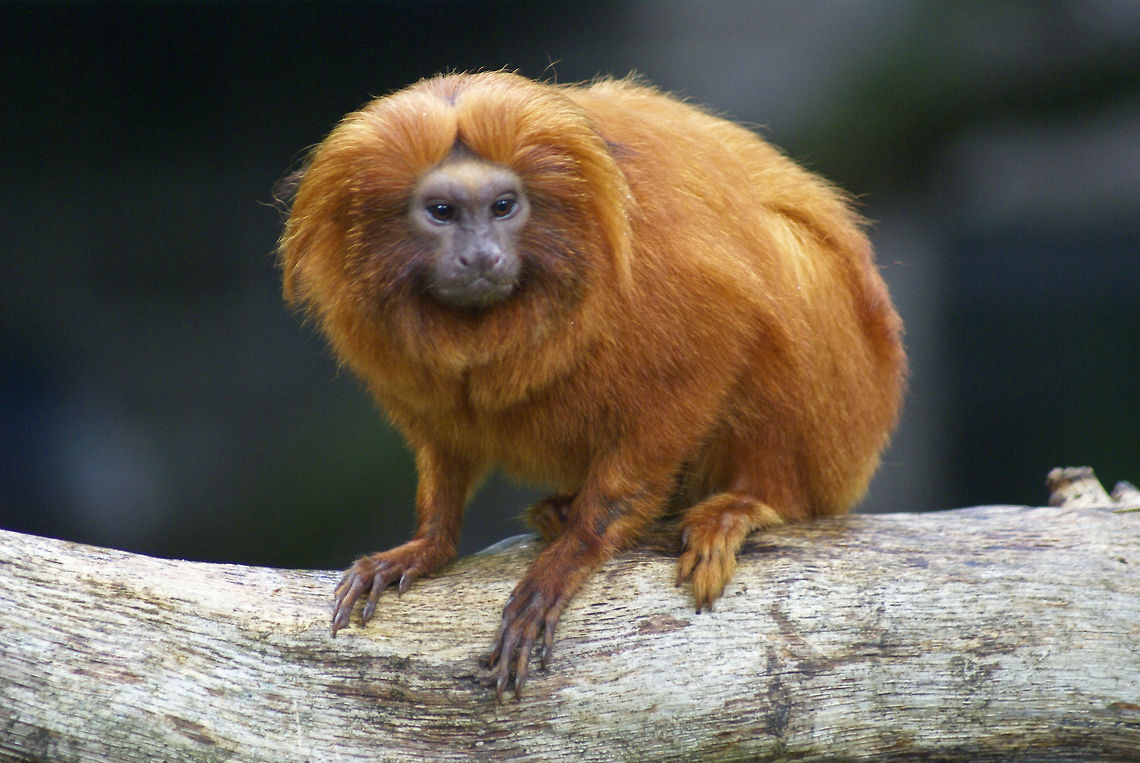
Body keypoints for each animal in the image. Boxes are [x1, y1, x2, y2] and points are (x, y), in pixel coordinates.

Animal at [278, 71, 906, 701]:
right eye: (441, 211)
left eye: (503, 207)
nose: (481, 255)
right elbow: (442, 442)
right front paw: (428, 545)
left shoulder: (667, 268)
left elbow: (709, 352)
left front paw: (574, 552)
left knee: (787, 263)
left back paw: (745, 504)